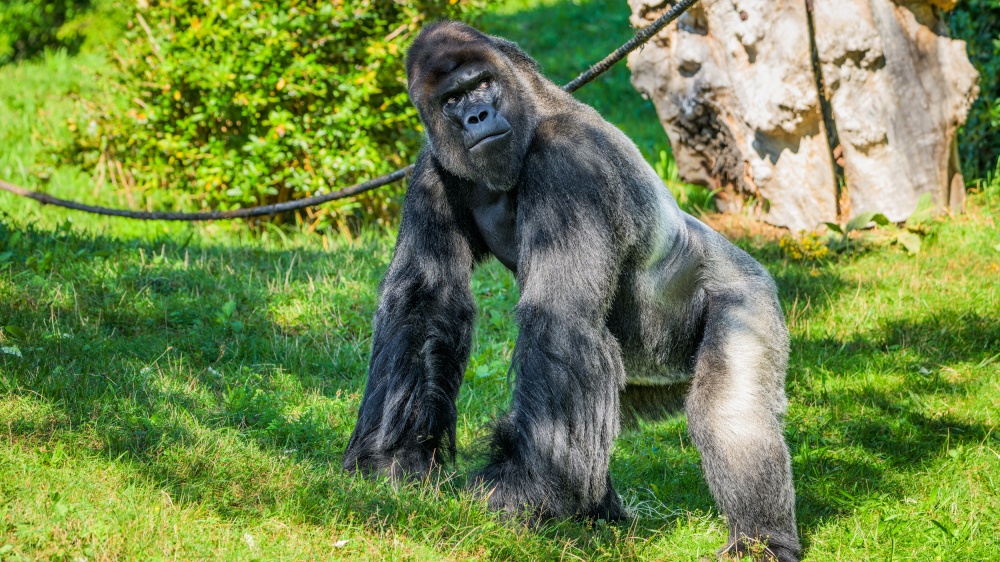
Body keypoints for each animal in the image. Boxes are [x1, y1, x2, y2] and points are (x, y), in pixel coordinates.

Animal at [348, 19, 800, 556]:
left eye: (481, 84)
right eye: (451, 99)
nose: (477, 116)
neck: (534, 108)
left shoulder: (569, 159)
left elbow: (559, 319)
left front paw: (521, 491)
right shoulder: (433, 166)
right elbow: (425, 302)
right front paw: (394, 459)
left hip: (750, 292)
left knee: (728, 410)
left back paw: (762, 541)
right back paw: (601, 515)